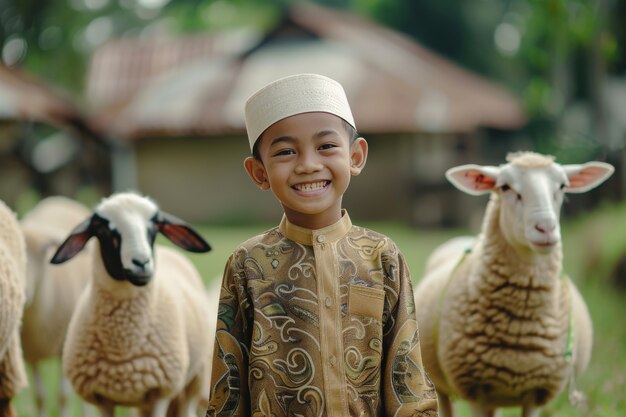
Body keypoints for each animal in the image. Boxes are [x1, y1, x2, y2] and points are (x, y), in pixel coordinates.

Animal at [19, 196, 93, 416]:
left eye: (44, 250)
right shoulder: (30, 355)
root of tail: (61, 199)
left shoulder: (62, 348)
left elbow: (62, 397)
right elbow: (40, 397)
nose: (24, 292)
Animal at [49, 192, 214, 416]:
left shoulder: (161, 392)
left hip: (196, 377)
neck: (122, 346)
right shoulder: (101, 398)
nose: (141, 263)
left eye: (155, 225)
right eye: (101, 228)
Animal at [412, 151, 612, 416]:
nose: (546, 228)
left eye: (562, 186)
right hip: (440, 384)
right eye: (505, 187)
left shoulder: (537, 393)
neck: (520, 324)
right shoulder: (476, 391)